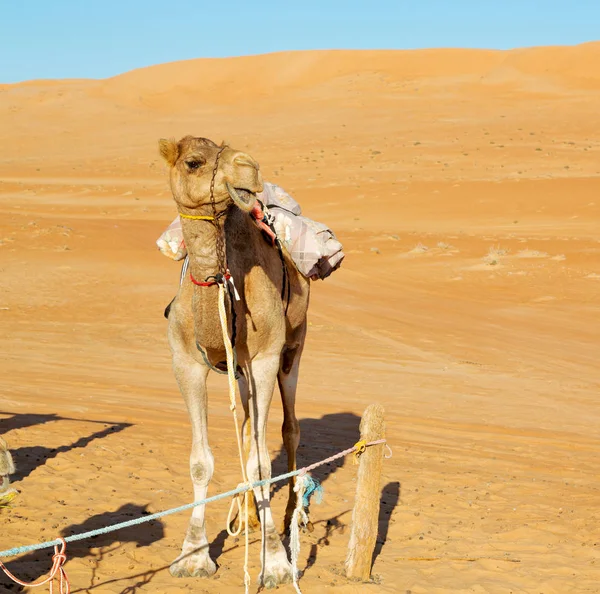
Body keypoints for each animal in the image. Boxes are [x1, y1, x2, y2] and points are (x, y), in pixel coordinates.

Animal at [159, 133, 310, 584]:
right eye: (193, 161)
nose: (250, 167)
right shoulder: (185, 363)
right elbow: (200, 462)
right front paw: (193, 555)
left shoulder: (263, 359)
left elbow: (262, 462)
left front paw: (275, 562)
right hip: (238, 371)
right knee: (245, 428)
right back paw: (246, 516)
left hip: (293, 348)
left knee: (289, 428)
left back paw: (289, 514)